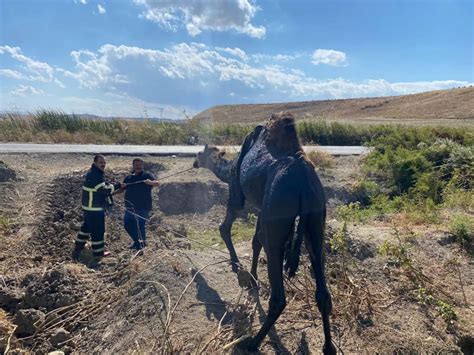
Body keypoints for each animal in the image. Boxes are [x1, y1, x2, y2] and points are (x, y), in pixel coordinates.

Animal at [193, 112, 336, 354]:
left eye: (199, 153)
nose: (194, 162)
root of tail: (304, 186)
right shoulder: (262, 210)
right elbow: (255, 241)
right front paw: (252, 278)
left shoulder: (238, 194)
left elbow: (226, 228)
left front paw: (238, 268)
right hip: (316, 219)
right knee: (322, 289)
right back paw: (329, 347)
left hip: (278, 220)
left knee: (278, 296)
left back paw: (252, 342)